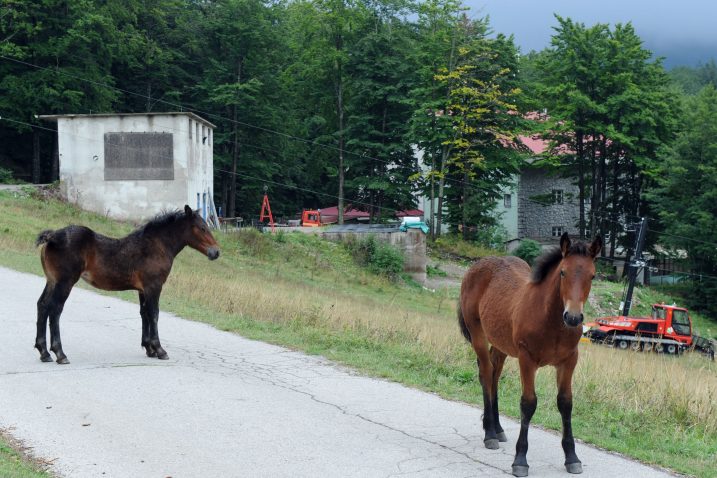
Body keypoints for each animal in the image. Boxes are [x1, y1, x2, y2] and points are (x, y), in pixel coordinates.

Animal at [34, 204, 218, 364]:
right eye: (202, 227)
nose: (216, 252)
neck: (157, 245)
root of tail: (52, 237)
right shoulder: (154, 286)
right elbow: (154, 314)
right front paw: (159, 350)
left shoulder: (143, 289)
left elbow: (144, 313)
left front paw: (149, 348)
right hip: (65, 282)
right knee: (55, 310)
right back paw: (60, 353)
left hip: (52, 280)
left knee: (42, 305)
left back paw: (44, 352)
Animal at [458, 233, 600, 476]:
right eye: (563, 272)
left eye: (592, 275)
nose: (573, 317)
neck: (552, 321)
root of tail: (476, 265)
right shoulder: (527, 359)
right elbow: (528, 403)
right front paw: (520, 460)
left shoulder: (569, 360)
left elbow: (565, 403)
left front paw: (572, 457)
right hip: (478, 334)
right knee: (486, 373)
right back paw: (489, 434)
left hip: (502, 344)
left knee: (494, 375)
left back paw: (497, 429)